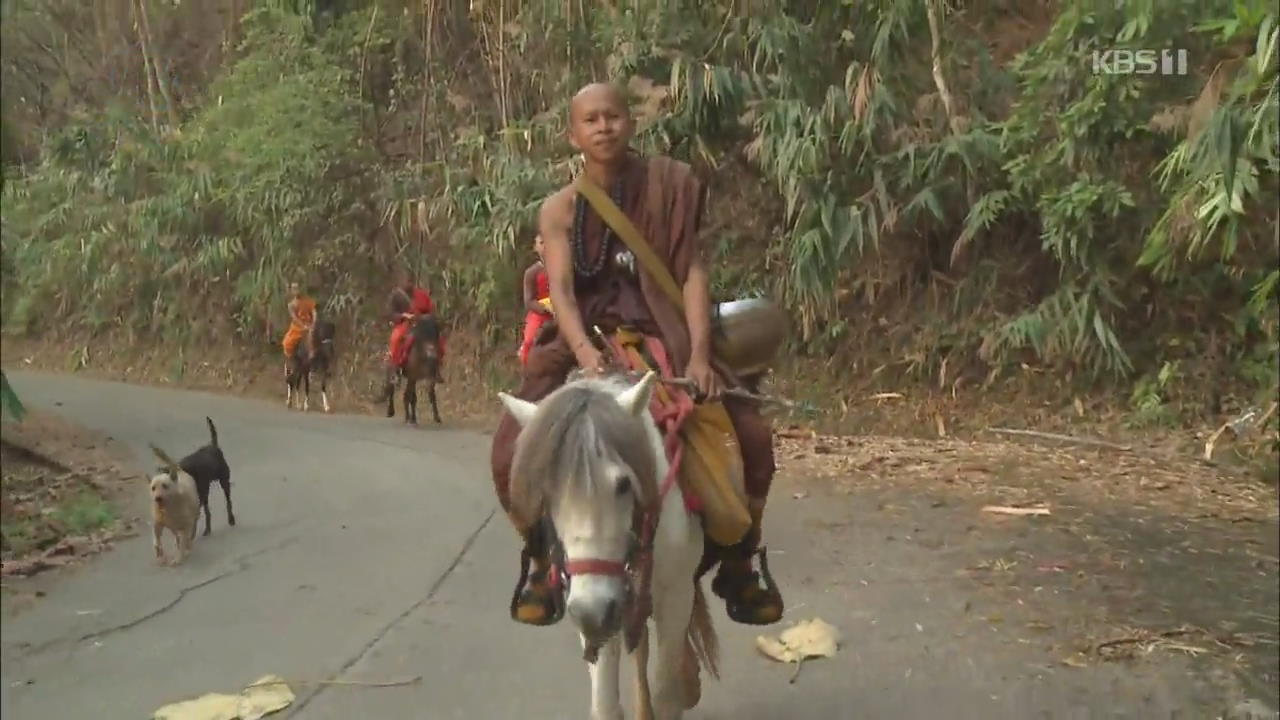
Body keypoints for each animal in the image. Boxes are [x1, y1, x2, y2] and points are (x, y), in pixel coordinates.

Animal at [499, 368, 721, 717]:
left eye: (623, 485)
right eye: (546, 494)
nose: (593, 612)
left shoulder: (673, 594)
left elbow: (667, 693)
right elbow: (605, 703)